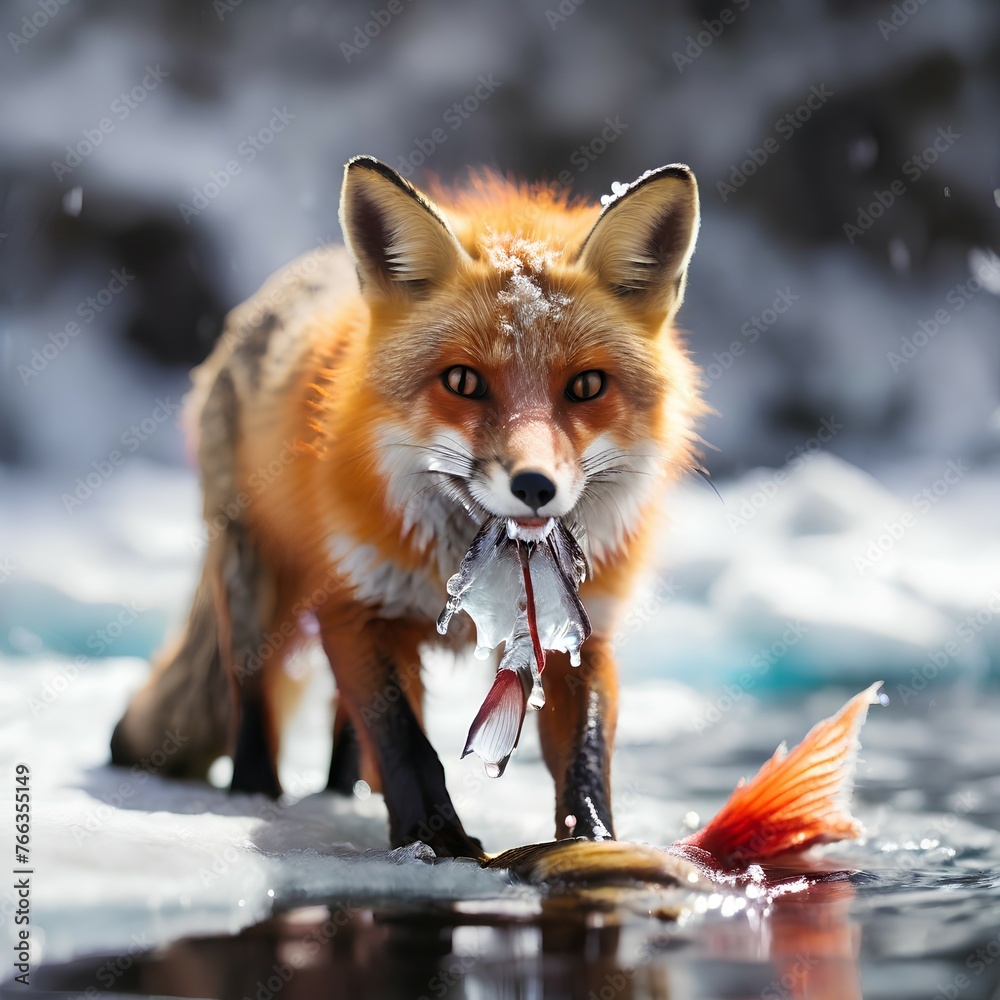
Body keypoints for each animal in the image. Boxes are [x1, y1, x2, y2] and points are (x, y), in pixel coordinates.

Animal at [110, 155, 705, 859]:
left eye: (586, 386)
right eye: (463, 381)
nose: (535, 485)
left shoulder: (577, 631)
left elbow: (584, 751)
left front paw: (593, 842)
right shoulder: (359, 604)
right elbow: (404, 742)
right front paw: (436, 841)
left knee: (343, 726)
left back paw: (343, 796)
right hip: (255, 588)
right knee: (253, 700)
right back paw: (259, 797)